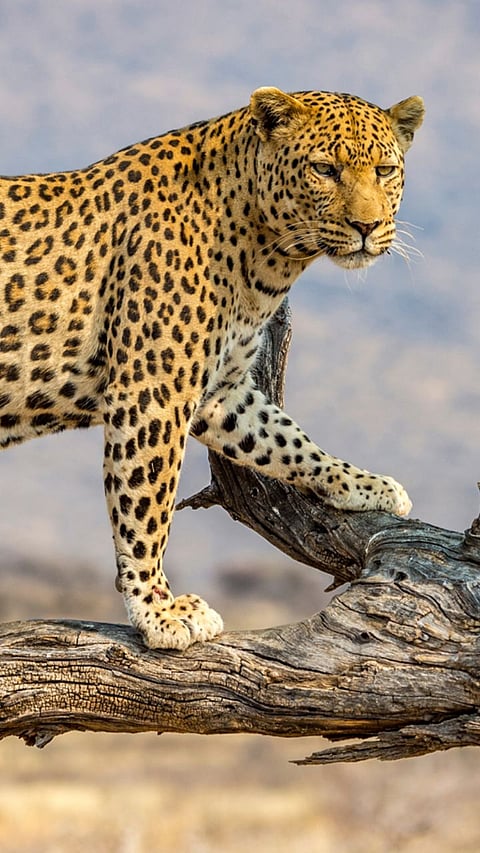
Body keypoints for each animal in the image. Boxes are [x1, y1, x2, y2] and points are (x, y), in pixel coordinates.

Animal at [0, 86, 424, 649]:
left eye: (384, 170)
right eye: (324, 169)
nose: (367, 227)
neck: (266, 256)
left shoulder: (223, 393)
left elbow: (288, 441)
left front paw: (365, 484)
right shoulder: (152, 394)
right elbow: (146, 508)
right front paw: (158, 610)